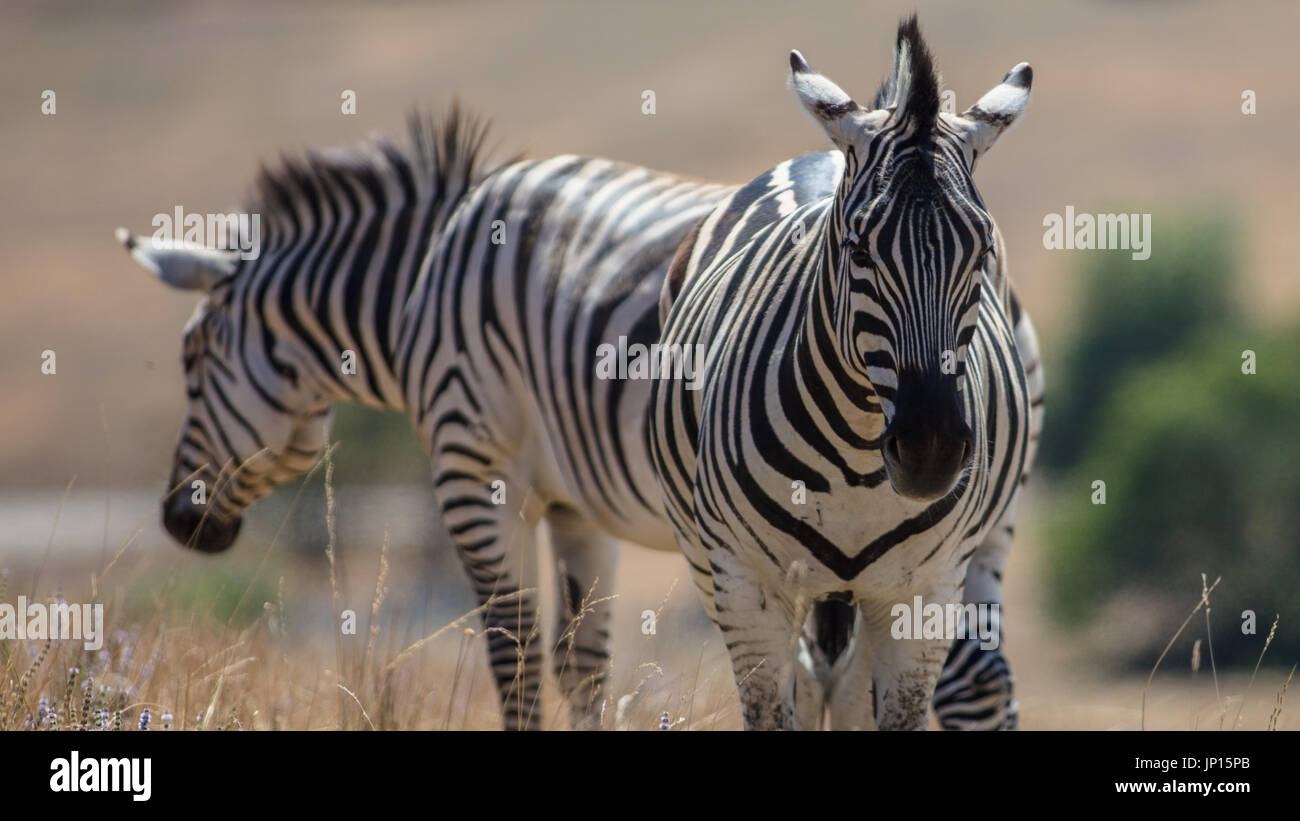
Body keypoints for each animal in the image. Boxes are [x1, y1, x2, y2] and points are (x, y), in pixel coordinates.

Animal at [650, 14, 1045, 732]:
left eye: (980, 248)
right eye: (859, 247)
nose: (931, 450)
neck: (859, 456)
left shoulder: (924, 594)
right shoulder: (747, 586)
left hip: (981, 546)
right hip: (709, 554)